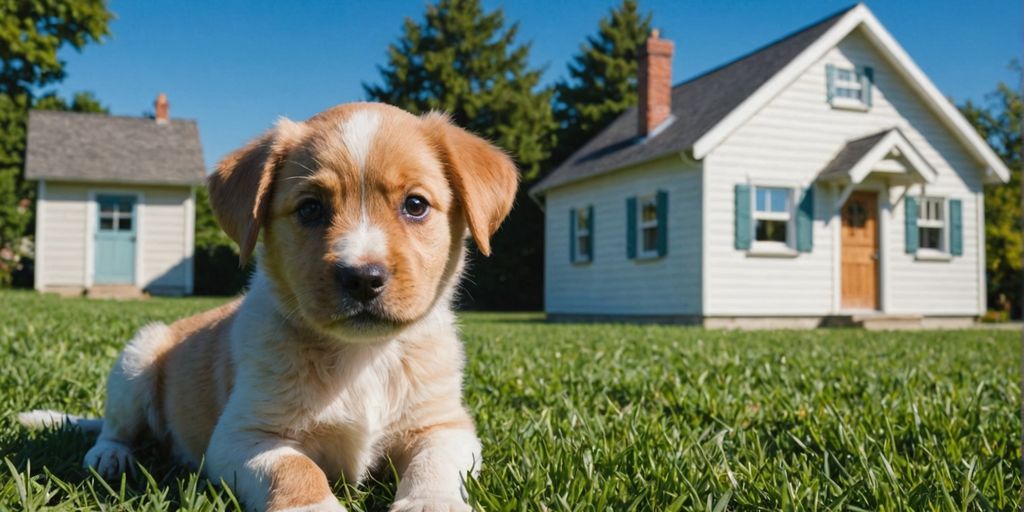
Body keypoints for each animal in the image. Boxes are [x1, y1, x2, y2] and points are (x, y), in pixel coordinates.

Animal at [18, 101, 520, 509]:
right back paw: (109, 455)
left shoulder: (445, 427)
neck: (363, 358)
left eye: (416, 205)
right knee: (116, 427)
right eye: (311, 209)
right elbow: (296, 471)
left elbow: (433, 467)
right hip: (136, 360)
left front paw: (432, 504)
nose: (362, 278)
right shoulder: (242, 437)